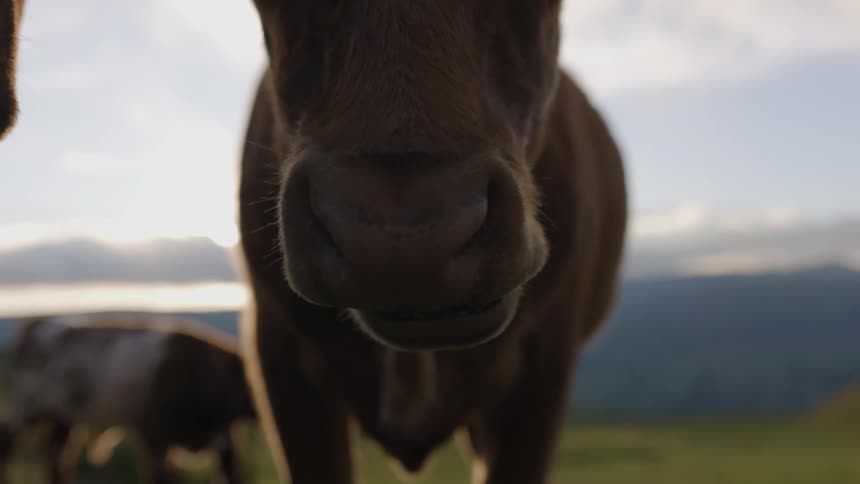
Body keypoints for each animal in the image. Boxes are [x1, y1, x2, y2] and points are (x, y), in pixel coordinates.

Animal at [0, 314, 257, 484]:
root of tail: (37, 324)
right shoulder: (155, 438)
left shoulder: (226, 443)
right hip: (24, 412)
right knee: (10, 447)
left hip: (63, 421)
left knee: (57, 460)